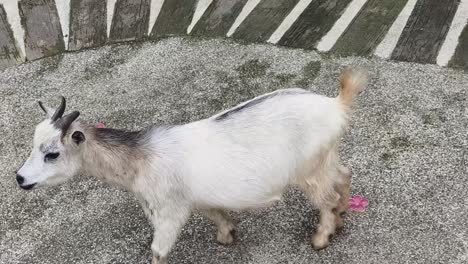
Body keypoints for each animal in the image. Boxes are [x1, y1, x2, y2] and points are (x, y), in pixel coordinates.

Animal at [17, 67, 370, 262]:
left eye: (52, 153)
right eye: (33, 144)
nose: (20, 178)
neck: (139, 159)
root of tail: (337, 105)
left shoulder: (168, 210)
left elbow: (159, 250)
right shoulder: (193, 199)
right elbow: (215, 214)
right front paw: (227, 236)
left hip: (309, 170)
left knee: (326, 197)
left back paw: (322, 237)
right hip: (326, 158)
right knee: (344, 176)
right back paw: (342, 217)